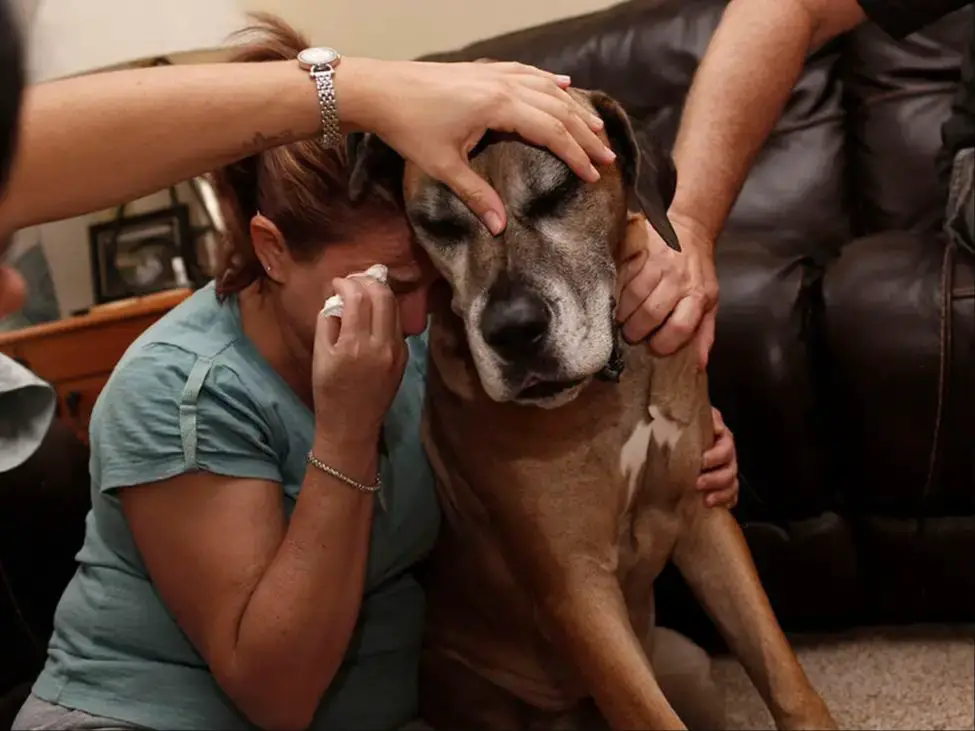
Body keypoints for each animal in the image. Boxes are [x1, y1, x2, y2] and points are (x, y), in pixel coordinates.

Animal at [346, 88, 840, 728]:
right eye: (439, 225)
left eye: (559, 193)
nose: (513, 331)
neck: (612, 384)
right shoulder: (577, 590)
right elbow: (649, 713)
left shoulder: (703, 518)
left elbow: (782, 671)